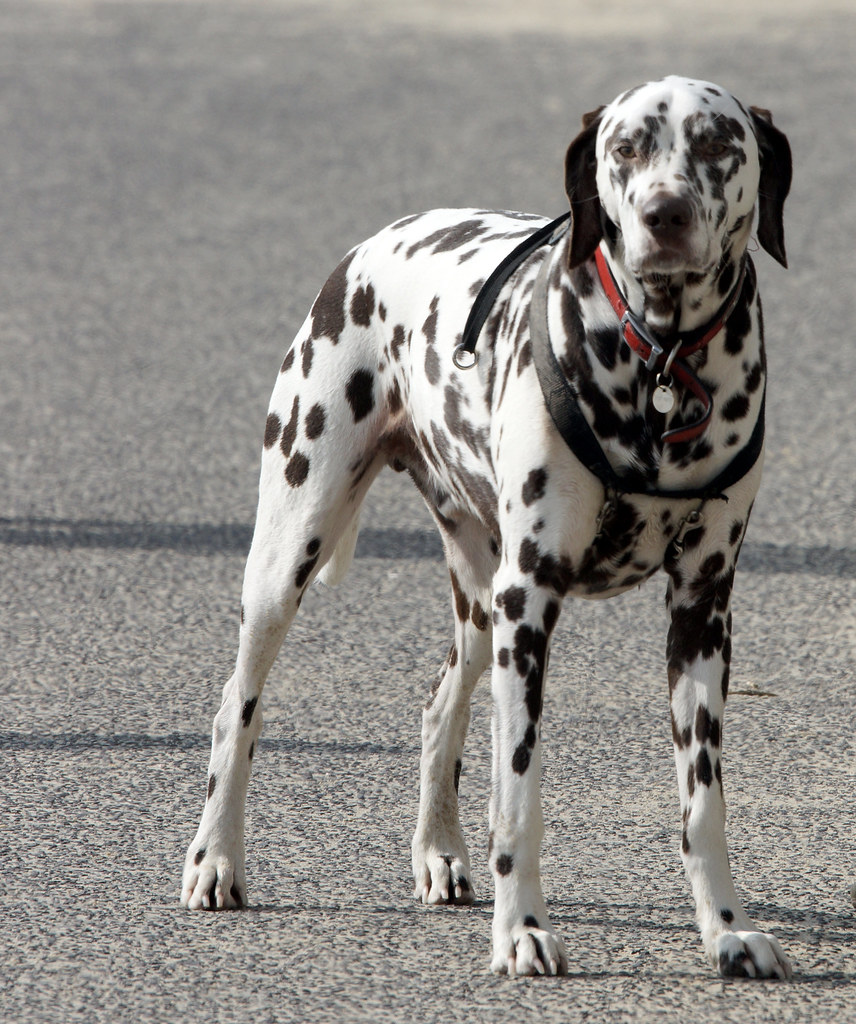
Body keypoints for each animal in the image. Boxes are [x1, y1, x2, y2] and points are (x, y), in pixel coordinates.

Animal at [182, 77, 794, 974]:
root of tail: (372, 247)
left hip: (480, 611)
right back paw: (216, 859)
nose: (665, 214)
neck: (660, 359)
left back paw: (438, 851)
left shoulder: (701, 614)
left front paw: (725, 929)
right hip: (292, 559)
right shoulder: (531, 603)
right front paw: (523, 931)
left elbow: (703, 805)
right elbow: (519, 794)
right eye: (627, 148)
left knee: (441, 707)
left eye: (719, 143)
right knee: (238, 706)